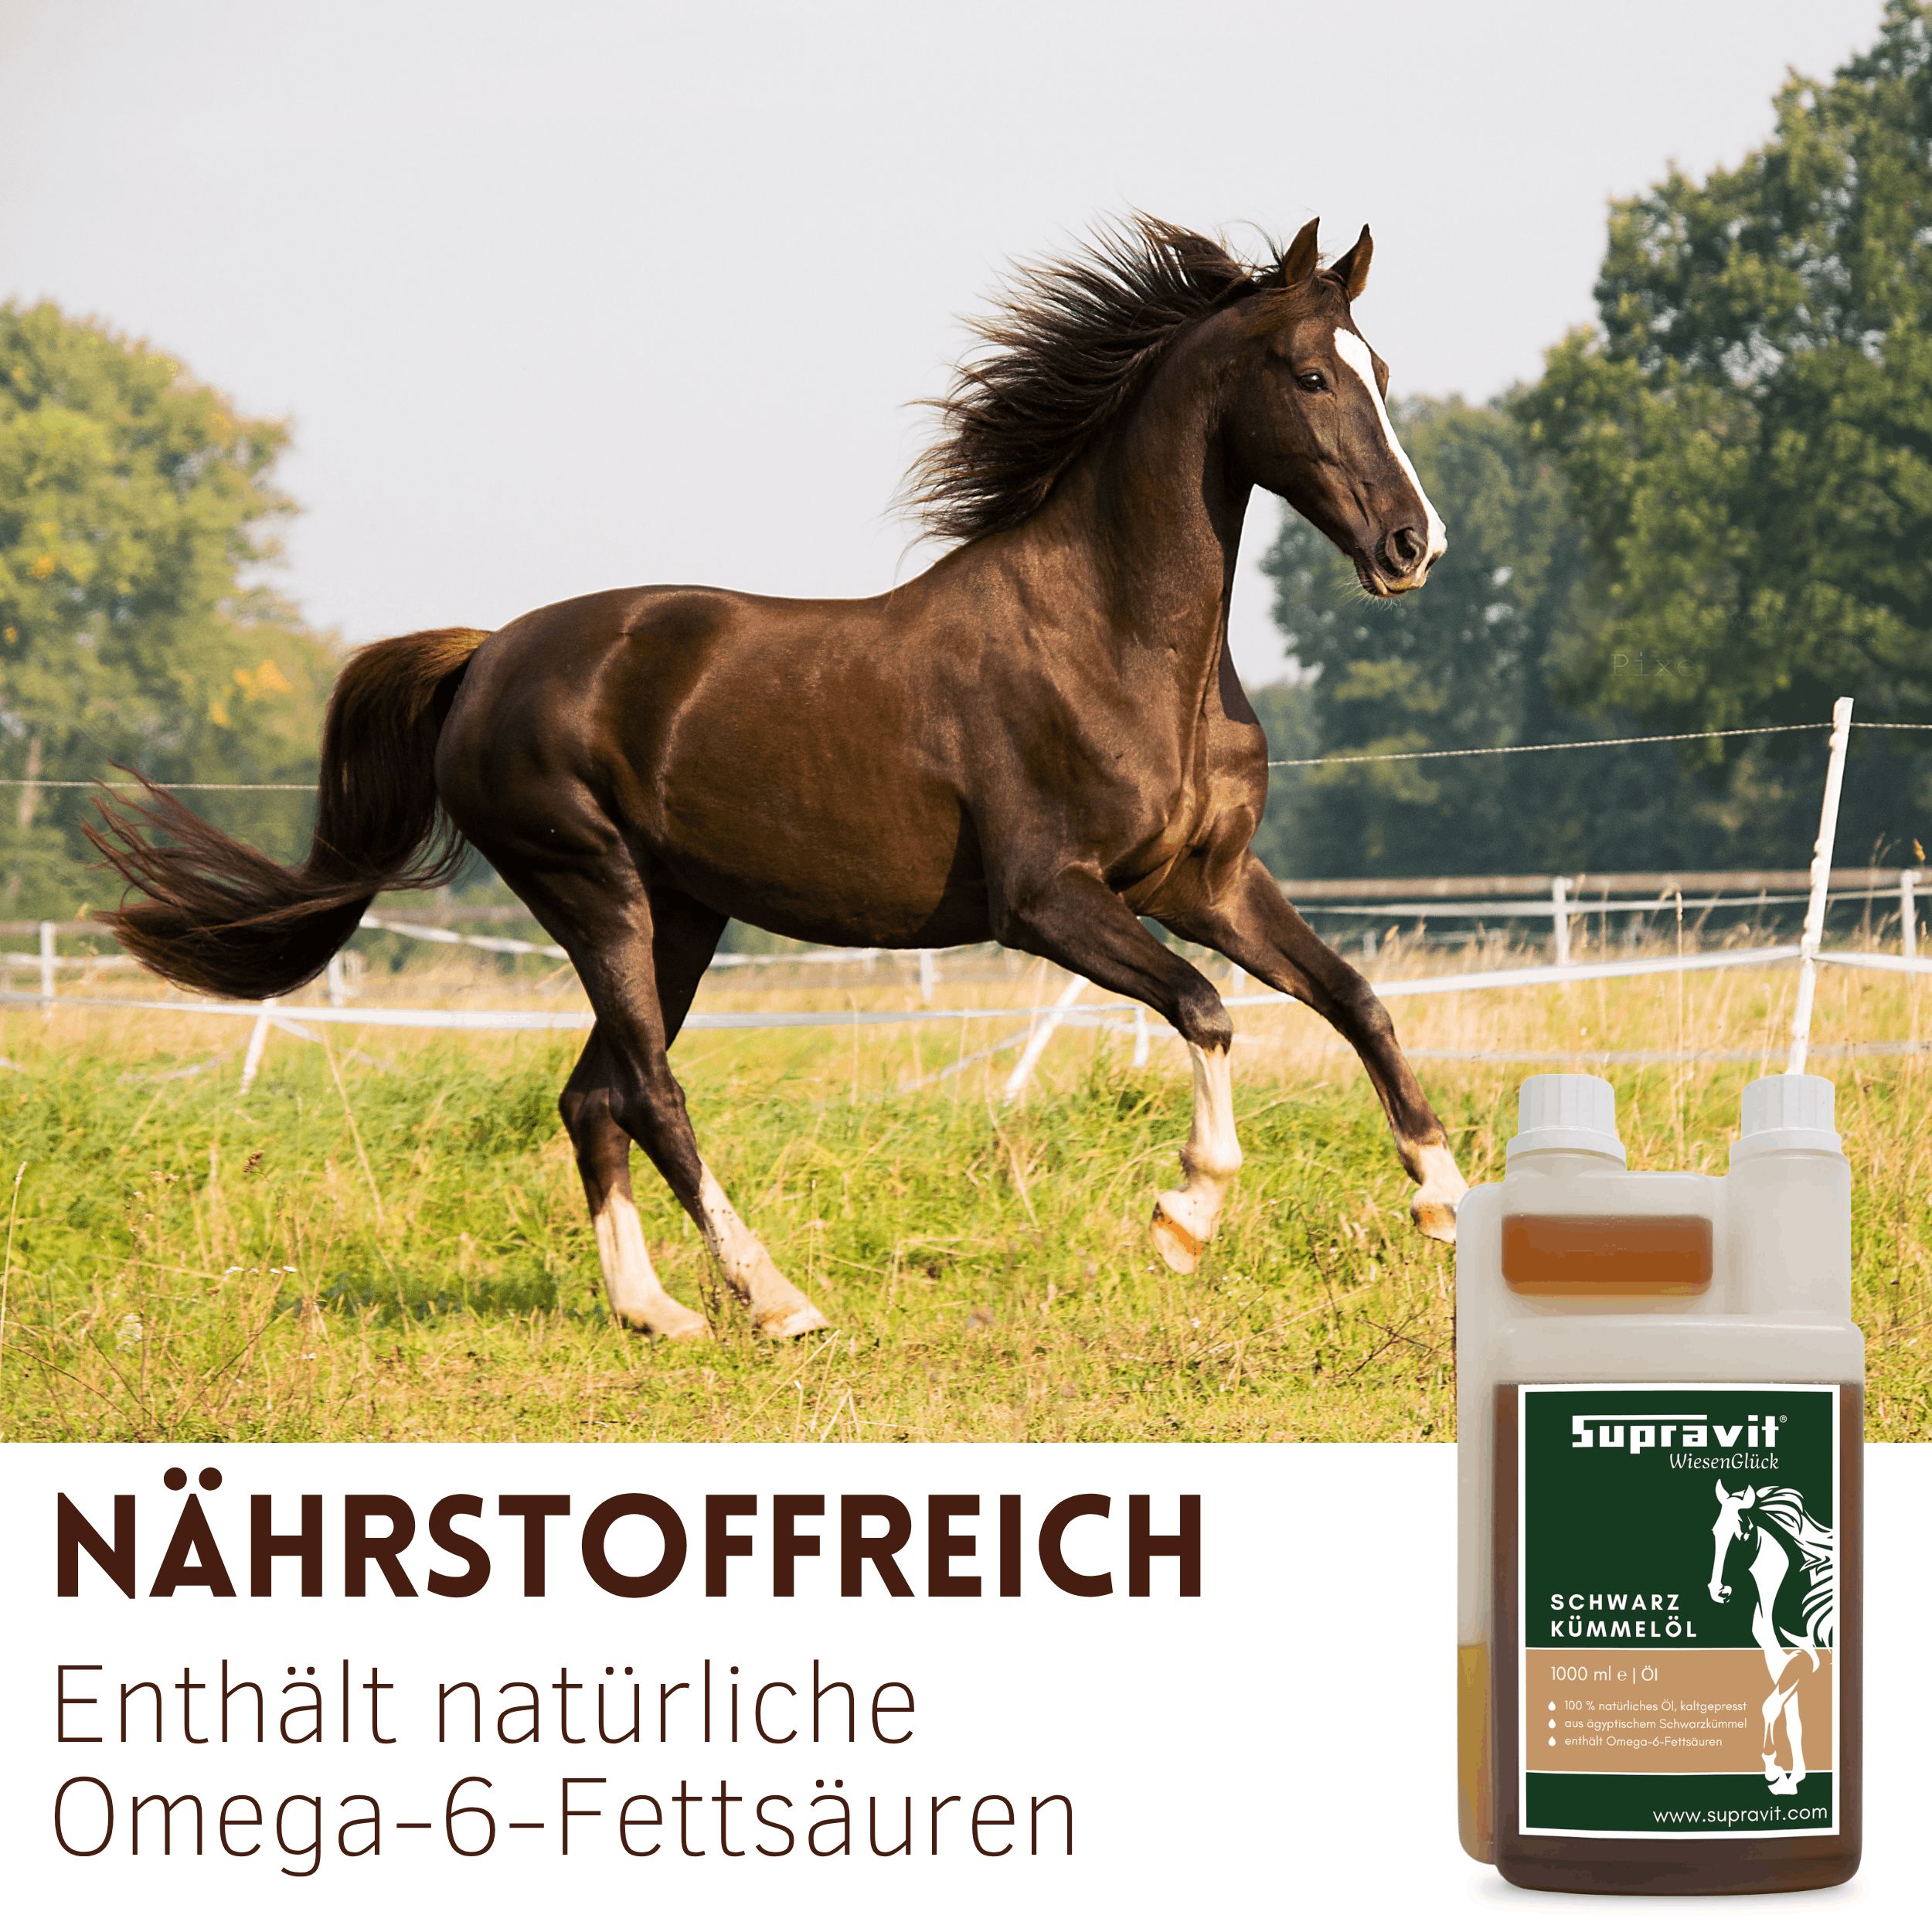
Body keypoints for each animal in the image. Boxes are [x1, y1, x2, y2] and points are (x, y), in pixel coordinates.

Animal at [91, 213, 1468, 1342]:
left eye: (1383, 374)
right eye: (1310, 375)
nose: (1416, 547)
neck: (1113, 641)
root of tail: (485, 657)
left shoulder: (1208, 882)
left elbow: (1356, 999)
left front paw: (1444, 1200)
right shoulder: (1049, 902)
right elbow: (1206, 1009)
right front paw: (1186, 1219)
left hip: (681, 914)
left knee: (591, 1094)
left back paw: (655, 1313)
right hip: (592, 889)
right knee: (649, 1090)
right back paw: (776, 1299)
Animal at [1709, 1481, 1836, 1794]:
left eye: (1743, 1533)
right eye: (1715, 1531)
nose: (1718, 1591)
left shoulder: (1808, 1658)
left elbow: (1769, 1707)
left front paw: (1774, 1769)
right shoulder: (1780, 1660)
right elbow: (1792, 1720)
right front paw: (1793, 1777)